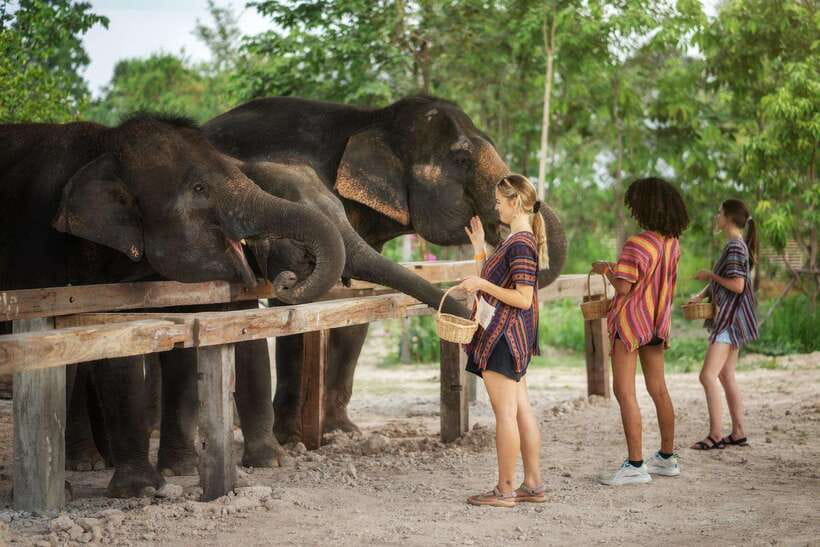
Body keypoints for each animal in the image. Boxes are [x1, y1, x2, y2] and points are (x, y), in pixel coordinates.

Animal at [0, 113, 346, 496]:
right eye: (199, 189)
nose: (288, 278)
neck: (104, 145)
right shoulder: (38, 250)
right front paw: (140, 490)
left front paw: (168, 477)